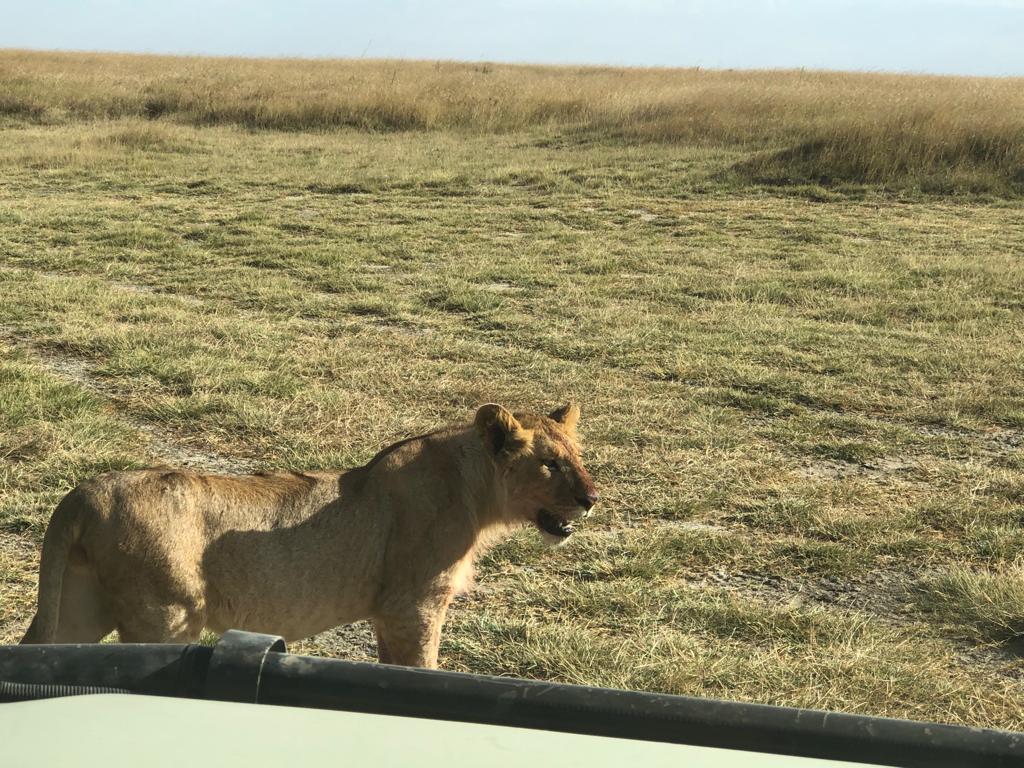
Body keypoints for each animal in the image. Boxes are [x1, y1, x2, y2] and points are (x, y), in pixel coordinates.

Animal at [19, 403, 598, 667]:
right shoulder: (414, 605)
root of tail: (87, 491)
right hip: (167, 615)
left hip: (79, 605)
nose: (591, 499)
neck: (475, 490)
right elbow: (424, 665)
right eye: (549, 464)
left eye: (578, 458)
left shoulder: (389, 613)